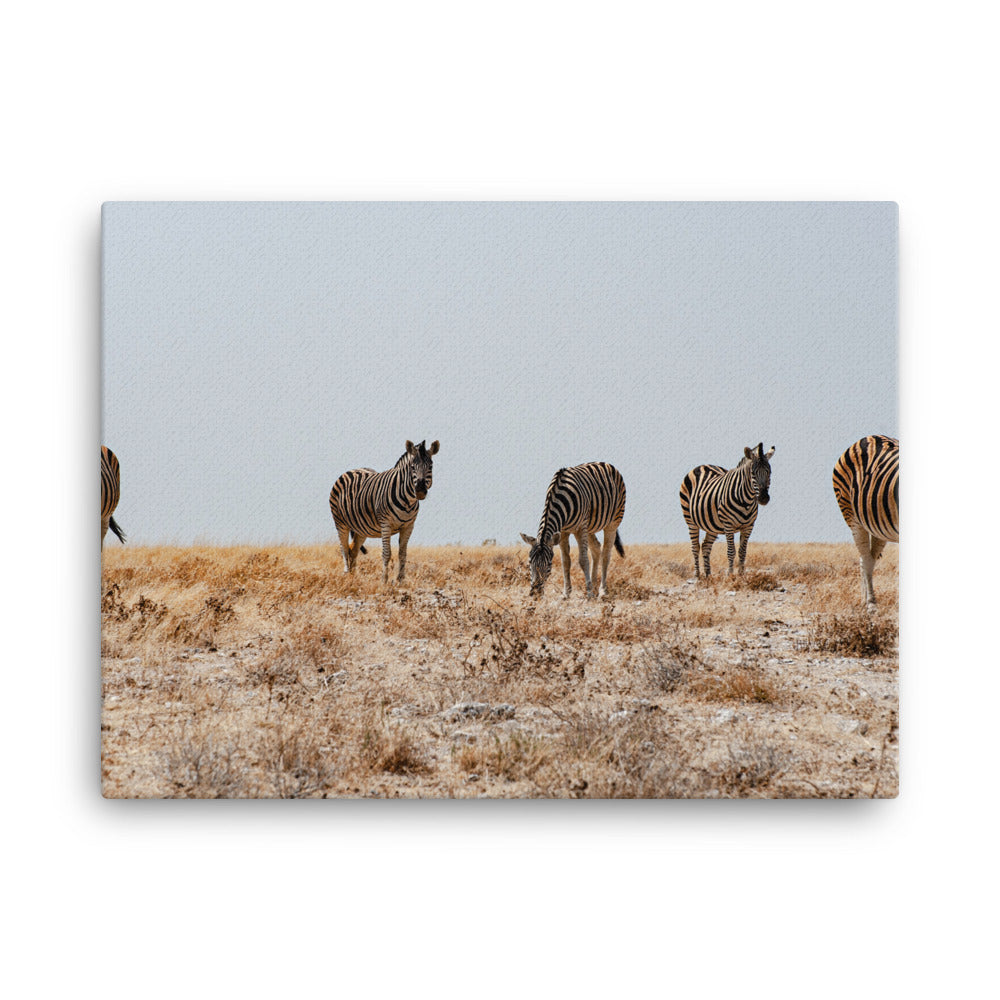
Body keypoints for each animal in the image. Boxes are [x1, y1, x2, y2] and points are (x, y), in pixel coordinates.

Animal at [329, 439, 440, 583]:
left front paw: (401, 580)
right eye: (412, 467)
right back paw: (347, 575)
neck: (407, 501)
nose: (420, 490)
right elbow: (387, 553)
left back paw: (354, 578)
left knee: (353, 550)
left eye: (430, 466)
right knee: (344, 548)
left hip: (361, 528)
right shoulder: (386, 524)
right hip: (340, 522)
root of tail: (351, 470)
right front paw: (384, 580)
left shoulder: (408, 526)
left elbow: (403, 554)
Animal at [520, 462, 626, 600]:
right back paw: (594, 587)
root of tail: (606, 463)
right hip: (589, 527)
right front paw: (566, 593)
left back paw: (602, 591)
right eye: (529, 562)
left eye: (549, 564)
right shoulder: (563, 531)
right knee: (596, 548)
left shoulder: (580, 528)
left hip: (613, 521)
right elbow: (565, 561)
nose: (535, 594)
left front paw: (589, 594)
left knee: (606, 555)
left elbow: (583, 560)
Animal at [679, 443, 774, 578]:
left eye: (769, 472)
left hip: (712, 525)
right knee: (695, 547)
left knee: (706, 546)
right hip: (690, 520)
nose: (764, 498)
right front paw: (730, 575)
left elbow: (742, 551)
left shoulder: (749, 526)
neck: (746, 501)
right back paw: (697, 576)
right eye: (753, 473)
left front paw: (741, 576)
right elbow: (731, 551)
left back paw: (708, 576)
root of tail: (702, 465)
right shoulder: (729, 525)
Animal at [832, 434, 899, 608]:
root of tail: (869, 437)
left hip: (879, 526)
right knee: (867, 559)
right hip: (852, 516)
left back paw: (864, 599)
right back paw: (870, 604)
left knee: (867, 558)